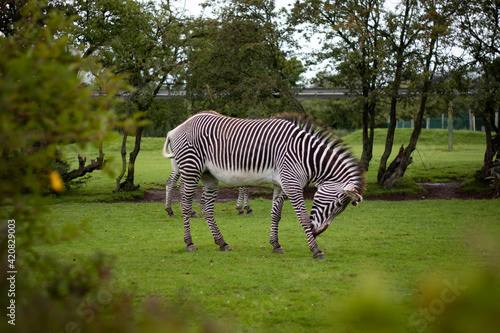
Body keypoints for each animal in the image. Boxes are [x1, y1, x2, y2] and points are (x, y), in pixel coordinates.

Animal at [163, 110, 364, 258]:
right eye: (337, 204)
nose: (316, 233)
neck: (305, 155)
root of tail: (176, 129)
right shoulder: (292, 184)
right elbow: (303, 217)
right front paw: (316, 250)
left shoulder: (281, 184)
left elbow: (276, 214)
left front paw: (276, 245)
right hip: (191, 169)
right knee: (185, 203)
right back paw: (189, 242)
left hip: (208, 175)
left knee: (206, 207)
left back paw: (222, 242)